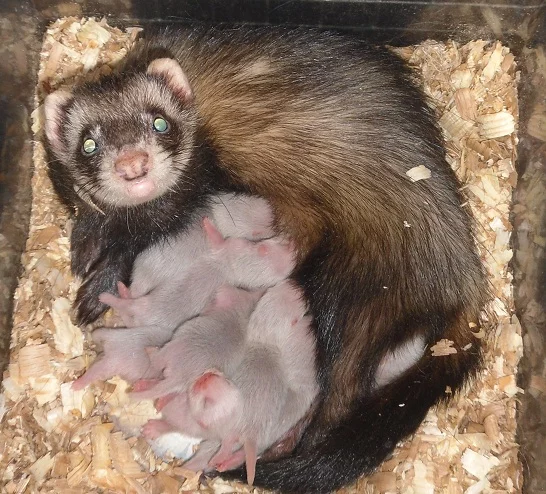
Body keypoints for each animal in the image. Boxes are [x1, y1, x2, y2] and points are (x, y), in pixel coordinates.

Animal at [43, 26, 488, 492]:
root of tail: (465, 285)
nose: (133, 164)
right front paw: (84, 247)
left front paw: (95, 289)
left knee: (336, 400)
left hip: (352, 303)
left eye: (160, 121)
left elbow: (133, 247)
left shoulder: (183, 203)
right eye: (89, 143)